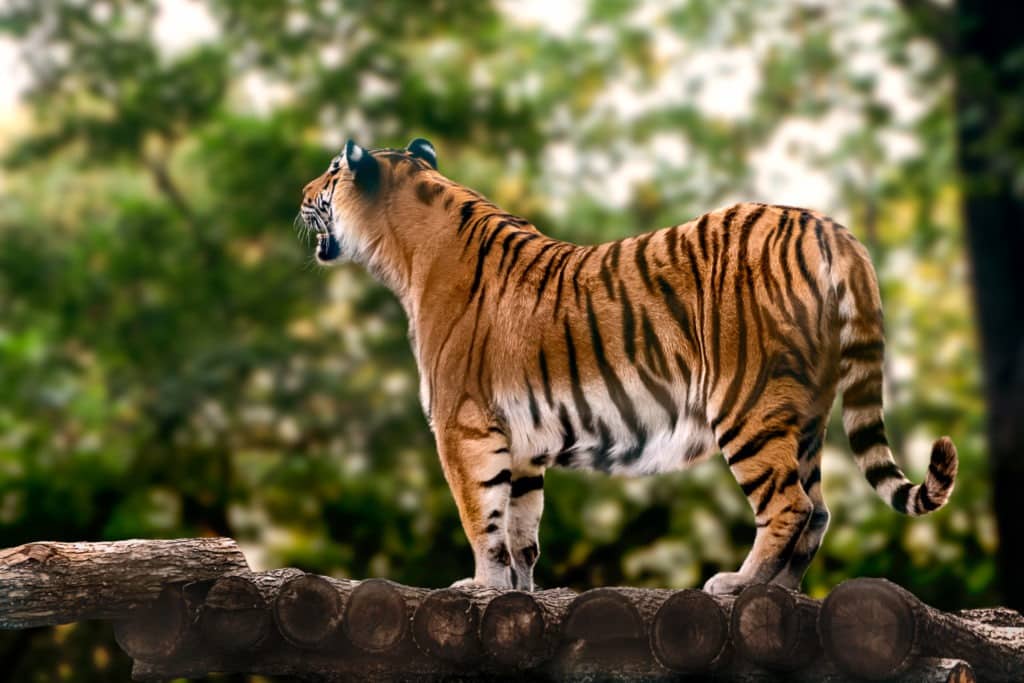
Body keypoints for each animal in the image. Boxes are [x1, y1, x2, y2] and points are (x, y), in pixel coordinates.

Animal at [299, 137, 954, 593]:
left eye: (331, 169)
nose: (302, 197)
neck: (407, 254)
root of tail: (826, 225)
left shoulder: (464, 428)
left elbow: (482, 520)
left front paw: (479, 588)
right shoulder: (523, 443)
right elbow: (521, 530)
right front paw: (516, 592)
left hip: (749, 405)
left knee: (789, 506)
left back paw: (737, 585)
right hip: (808, 414)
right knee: (817, 511)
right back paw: (783, 592)